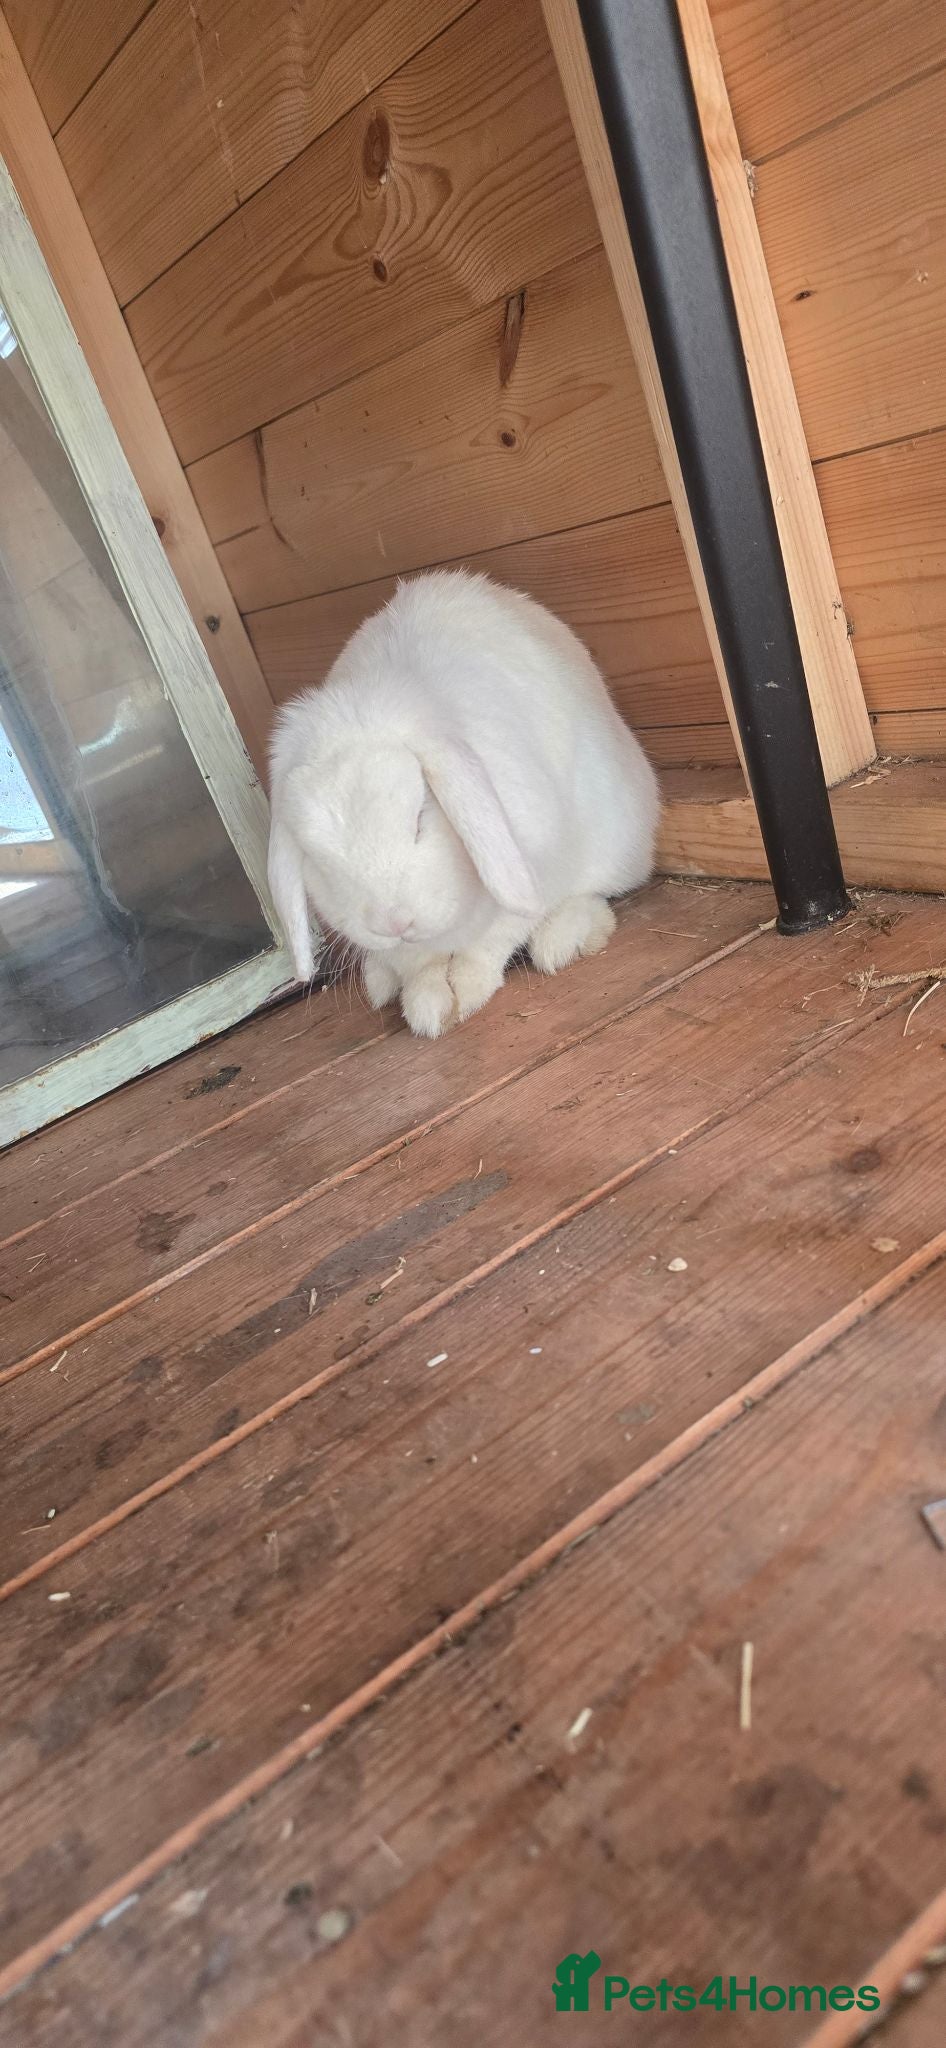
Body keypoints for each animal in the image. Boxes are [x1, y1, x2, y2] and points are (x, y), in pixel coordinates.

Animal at [267, 569, 660, 1038]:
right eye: (317, 858)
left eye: (420, 817)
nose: (392, 922)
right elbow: (421, 966)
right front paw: (430, 1006)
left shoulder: (532, 868)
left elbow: (491, 941)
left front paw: (465, 990)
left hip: (617, 843)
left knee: (593, 893)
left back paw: (566, 939)